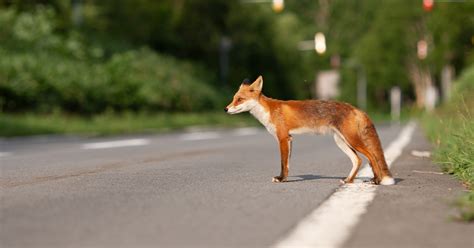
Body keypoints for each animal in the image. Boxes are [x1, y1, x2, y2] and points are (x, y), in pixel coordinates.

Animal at [224, 76, 394, 185]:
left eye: (239, 99)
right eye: (233, 98)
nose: (226, 109)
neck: (269, 111)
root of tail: (356, 108)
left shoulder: (283, 137)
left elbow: (282, 163)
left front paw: (280, 179)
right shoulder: (289, 138)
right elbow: (287, 164)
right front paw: (285, 179)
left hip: (351, 140)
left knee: (372, 157)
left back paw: (376, 181)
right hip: (341, 141)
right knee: (358, 160)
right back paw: (349, 180)